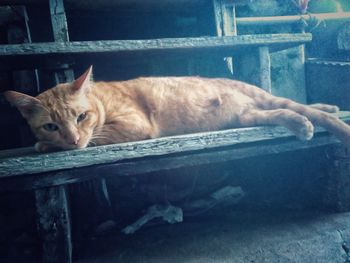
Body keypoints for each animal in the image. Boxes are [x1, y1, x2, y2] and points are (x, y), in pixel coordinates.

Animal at [3, 66, 350, 153]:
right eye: (51, 125)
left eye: (81, 116)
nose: (73, 140)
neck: (100, 98)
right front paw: (47, 143)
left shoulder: (135, 125)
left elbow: (99, 137)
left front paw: (46, 146)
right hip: (247, 114)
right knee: (283, 111)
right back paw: (312, 118)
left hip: (258, 98)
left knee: (295, 105)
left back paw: (324, 113)